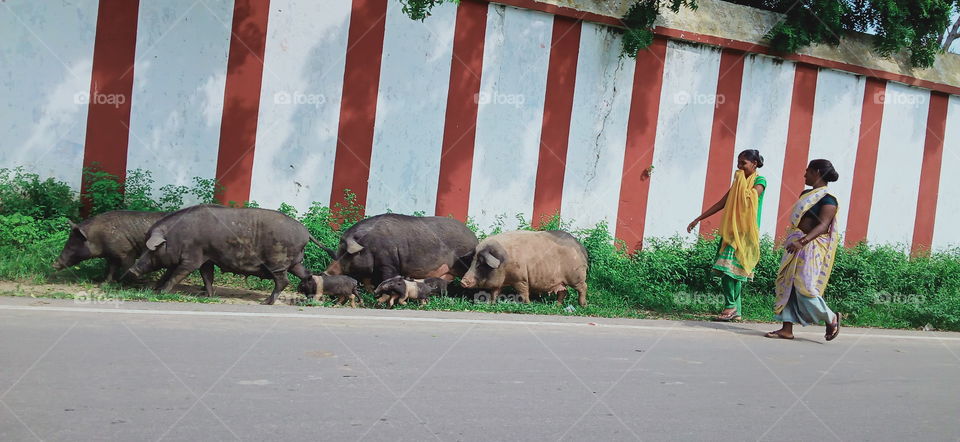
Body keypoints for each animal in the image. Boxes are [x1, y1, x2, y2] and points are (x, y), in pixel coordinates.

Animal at [127, 205, 320, 305]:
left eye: (151, 249)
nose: (132, 270)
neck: (176, 237)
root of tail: (306, 232)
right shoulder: (207, 258)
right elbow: (207, 276)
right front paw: (207, 296)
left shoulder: (192, 258)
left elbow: (176, 275)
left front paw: (161, 293)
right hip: (295, 262)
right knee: (307, 274)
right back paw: (309, 300)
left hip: (278, 261)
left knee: (283, 280)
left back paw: (266, 302)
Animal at [323, 214, 478, 288]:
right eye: (338, 250)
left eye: (346, 252)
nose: (325, 273)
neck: (368, 245)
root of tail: (475, 239)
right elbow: (368, 282)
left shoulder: (389, 262)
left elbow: (387, 278)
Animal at [460, 230, 589, 307]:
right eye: (472, 261)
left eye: (481, 264)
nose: (462, 282)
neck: (504, 261)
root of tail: (581, 247)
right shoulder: (500, 283)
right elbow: (494, 292)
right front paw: (490, 304)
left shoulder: (520, 279)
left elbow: (523, 292)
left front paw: (528, 304)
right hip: (561, 281)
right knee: (563, 291)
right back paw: (556, 306)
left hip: (576, 276)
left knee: (583, 287)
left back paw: (583, 305)